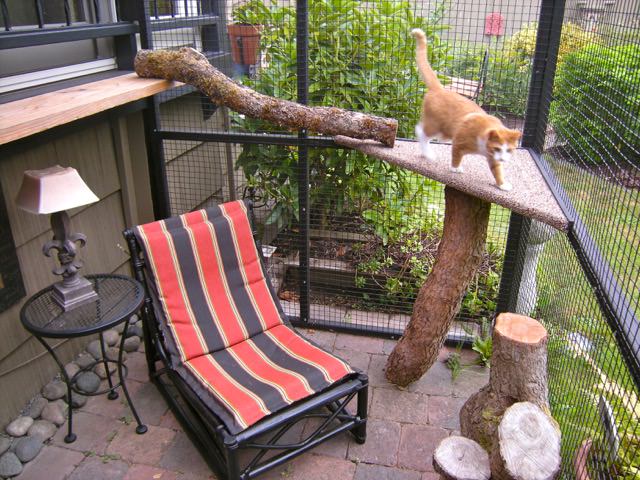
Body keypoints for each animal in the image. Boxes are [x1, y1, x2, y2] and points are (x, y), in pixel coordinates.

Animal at [412, 28, 524, 191]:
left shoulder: (493, 159)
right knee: (420, 131)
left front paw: (502, 184)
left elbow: (497, 170)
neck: (484, 147)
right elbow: (456, 155)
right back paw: (428, 153)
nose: (503, 158)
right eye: (498, 148)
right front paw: (455, 168)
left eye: (508, 150)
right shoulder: (459, 141)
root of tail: (440, 89)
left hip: (443, 131)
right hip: (437, 125)